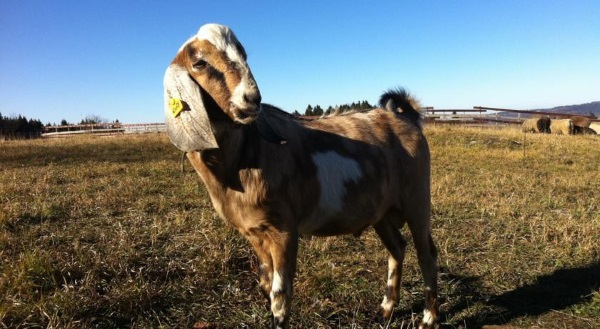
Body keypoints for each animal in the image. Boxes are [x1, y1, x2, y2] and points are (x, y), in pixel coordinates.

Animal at [163, 23, 436, 328]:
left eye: (245, 55)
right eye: (200, 63)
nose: (252, 100)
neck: (245, 153)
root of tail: (407, 117)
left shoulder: (284, 229)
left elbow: (280, 295)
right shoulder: (254, 232)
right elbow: (265, 284)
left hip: (417, 200)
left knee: (427, 255)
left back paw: (428, 318)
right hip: (382, 211)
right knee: (397, 247)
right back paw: (386, 308)